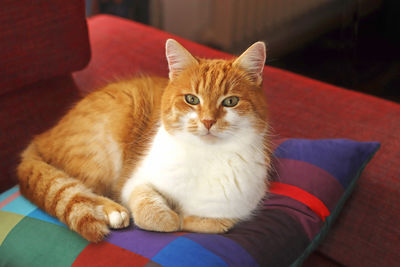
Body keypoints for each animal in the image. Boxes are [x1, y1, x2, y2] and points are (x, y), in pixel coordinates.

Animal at [17, 39, 270, 243]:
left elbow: (214, 222)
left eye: (230, 101)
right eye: (191, 99)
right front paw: (170, 217)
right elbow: (154, 213)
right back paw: (112, 211)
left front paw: (189, 218)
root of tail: (44, 136)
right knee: (84, 187)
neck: (205, 156)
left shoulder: (237, 207)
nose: (208, 121)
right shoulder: (135, 182)